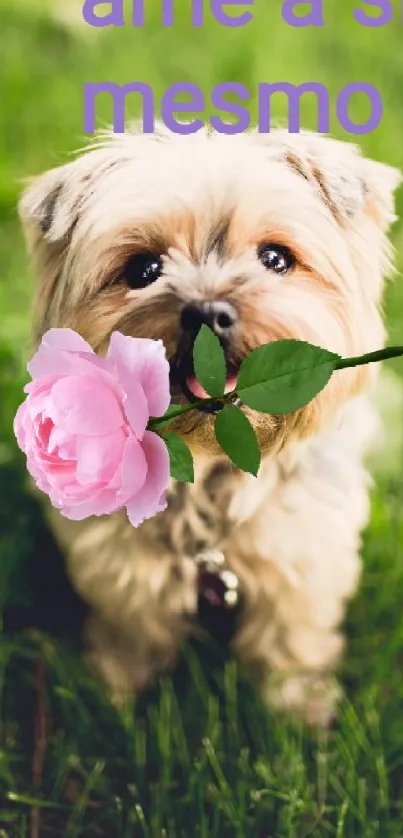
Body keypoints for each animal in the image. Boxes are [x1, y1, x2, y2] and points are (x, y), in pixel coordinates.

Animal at [18, 126, 400, 728]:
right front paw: (115, 694)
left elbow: (290, 634)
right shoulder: (118, 561)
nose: (207, 312)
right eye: (143, 270)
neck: (214, 462)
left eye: (276, 258)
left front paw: (298, 711)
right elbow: (135, 627)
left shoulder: (303, 547)